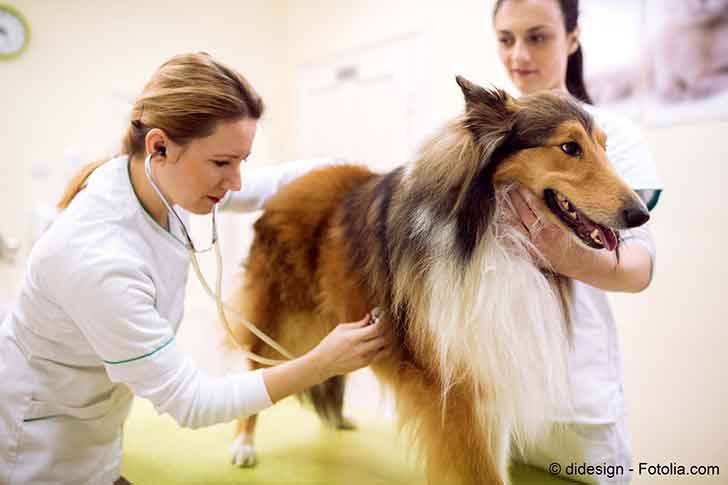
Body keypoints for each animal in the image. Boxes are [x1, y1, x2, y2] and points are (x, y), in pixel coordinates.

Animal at [223, 77, 648, 482]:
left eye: (605, 147)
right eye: (569, 147)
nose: (641, 214)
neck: (490, 232)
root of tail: (289, 184)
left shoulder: (488, 365)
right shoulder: (452, 385)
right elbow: (479, 470)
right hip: (286, 321)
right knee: (259, 370)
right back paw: (243, 445)